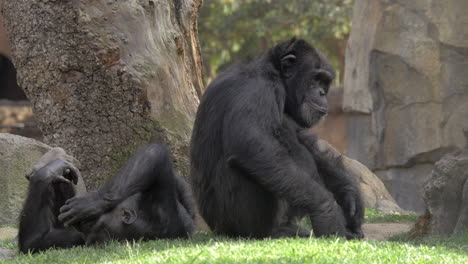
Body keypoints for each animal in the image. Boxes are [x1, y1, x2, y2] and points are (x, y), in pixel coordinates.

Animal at [18, 144, 196, 254]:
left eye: (89, 221)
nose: (81, 224)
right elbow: (35, 242)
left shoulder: (160, 209)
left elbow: (154, 154)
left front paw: (92, 203)